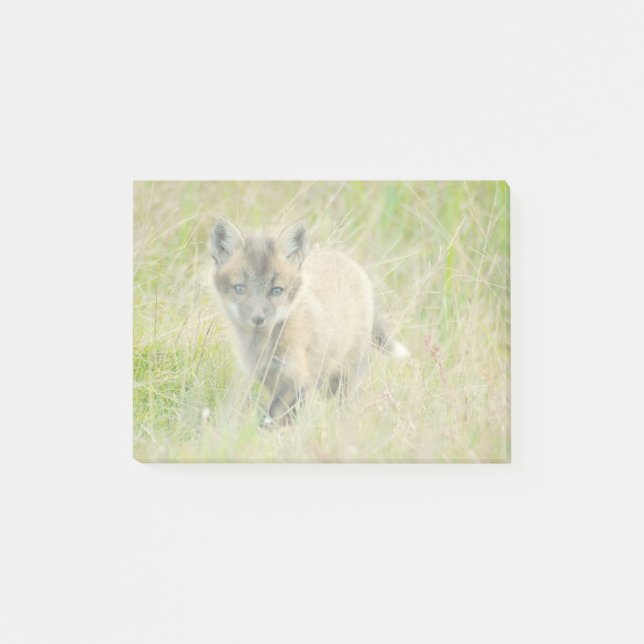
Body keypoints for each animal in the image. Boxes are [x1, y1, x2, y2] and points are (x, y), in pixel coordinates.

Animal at [210, 218, 409, 426]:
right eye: (240, 289)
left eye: (277, 290)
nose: (258, 319)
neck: (264, 345)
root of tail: (347, 259)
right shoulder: (270, 378)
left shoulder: (297, 380)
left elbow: (276, 418)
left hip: (347, 377)